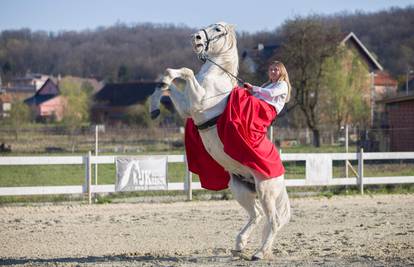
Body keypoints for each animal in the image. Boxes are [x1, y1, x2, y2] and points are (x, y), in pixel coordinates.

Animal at [150, 22, 292, 260]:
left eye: (217, 29)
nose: (196, 38)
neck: (216, 77)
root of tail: (280, 175)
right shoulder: (187, 107)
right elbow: (168, 85)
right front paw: (156, 100)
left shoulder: (197, 102)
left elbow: (185, 72)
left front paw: (166, 79)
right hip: (240, 188)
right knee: (257, 215)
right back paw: (239, 245)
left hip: (266, 190)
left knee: (273, 220)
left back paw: (259, 253)